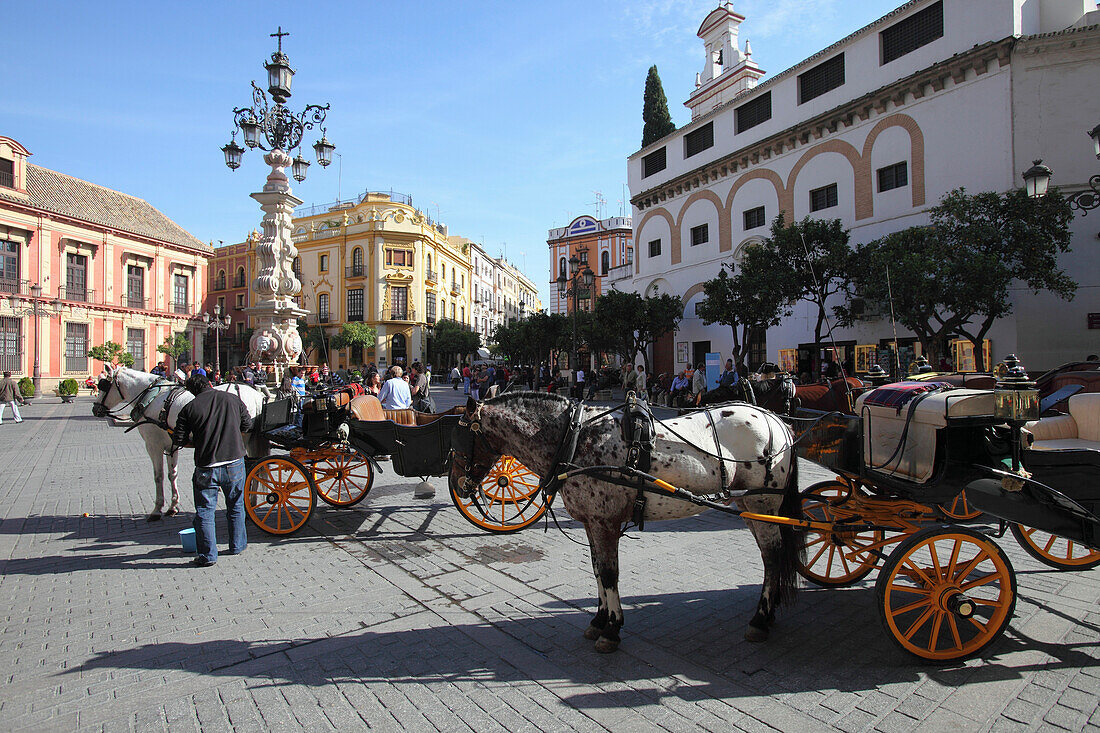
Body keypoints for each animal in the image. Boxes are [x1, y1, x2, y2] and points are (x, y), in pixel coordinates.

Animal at [92, 365, 268, 519]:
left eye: (103, 384)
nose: (95, 409)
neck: (151, 397)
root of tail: (255, 395)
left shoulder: (153, 445)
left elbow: (158, 476)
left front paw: (157, 509)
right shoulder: (172, 445)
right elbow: (172, 474)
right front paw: (173, 506)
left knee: (251, 468)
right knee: (257, 467)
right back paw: (252, 501)